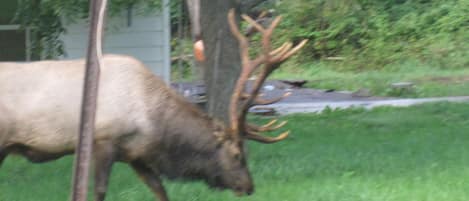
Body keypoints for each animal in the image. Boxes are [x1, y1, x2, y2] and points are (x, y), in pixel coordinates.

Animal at [0, 9, 308, 201]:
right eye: (237, 155)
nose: (249, 186)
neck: (154, 122)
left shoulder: (136, 154)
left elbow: (160, 190)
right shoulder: (103, 141)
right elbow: (99, 191)